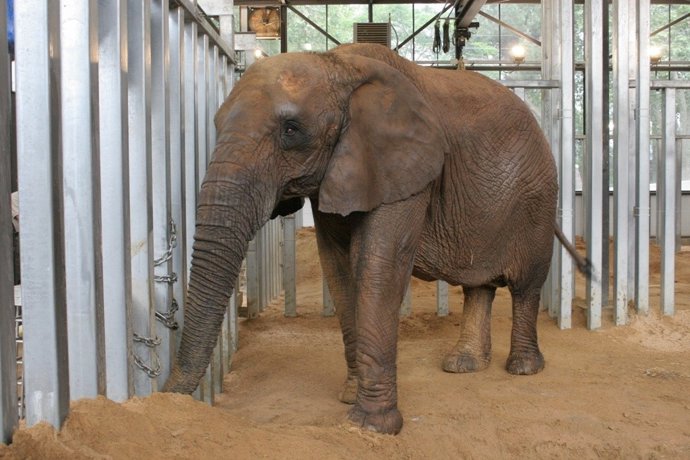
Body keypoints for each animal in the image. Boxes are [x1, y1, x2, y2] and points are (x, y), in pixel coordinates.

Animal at [164, 43, 590, 435]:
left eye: (291, 130)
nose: (166, 398)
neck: (338, 63)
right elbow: (337, 268)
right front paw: (350, 398)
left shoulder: (405, 169)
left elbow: (378, 263)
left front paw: (371, 426)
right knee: (479, 284)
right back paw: (463, 365)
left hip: (537, 198)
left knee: (526, 284)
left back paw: (522, 368)